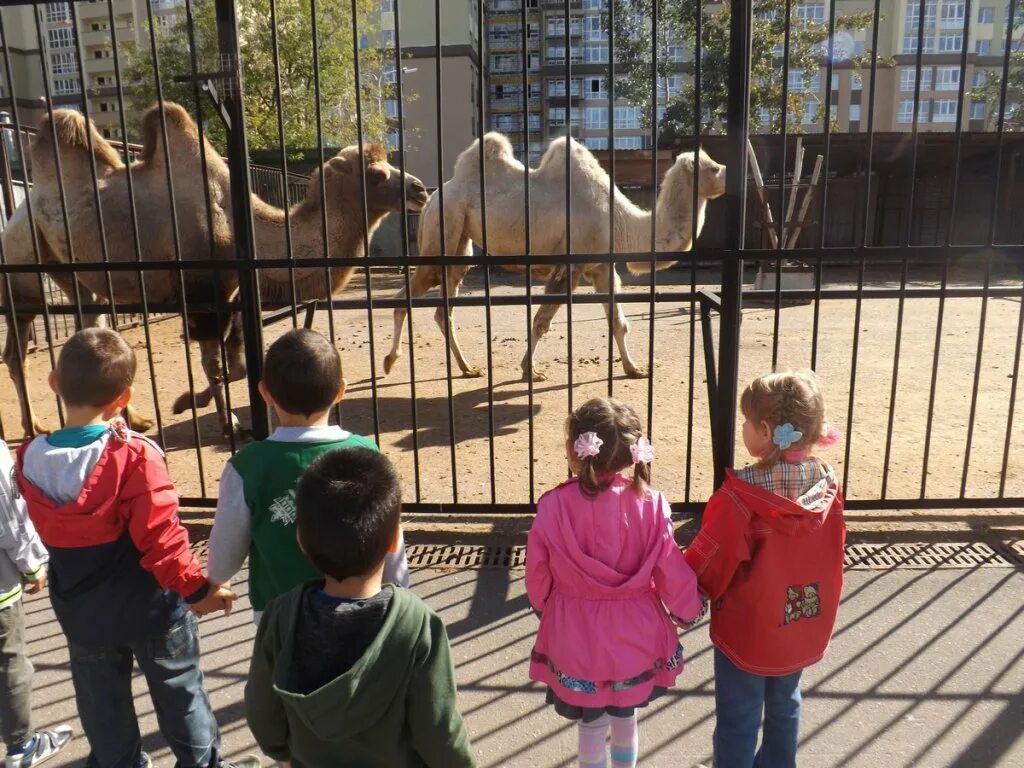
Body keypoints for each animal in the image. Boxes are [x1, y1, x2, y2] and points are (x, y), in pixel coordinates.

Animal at [385, 135, 729, 385]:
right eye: (714, 168)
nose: (729, 174)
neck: (622, 223)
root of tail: (433, 196)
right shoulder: (571, 267)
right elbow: (541, 321)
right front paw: (530, 370)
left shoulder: (602, 268)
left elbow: (618, 323)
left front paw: (634, 369)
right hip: (443, 227)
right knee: (408, 295)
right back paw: (390, 362)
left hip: (458, 246)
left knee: (444, 309)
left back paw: (467, 368)